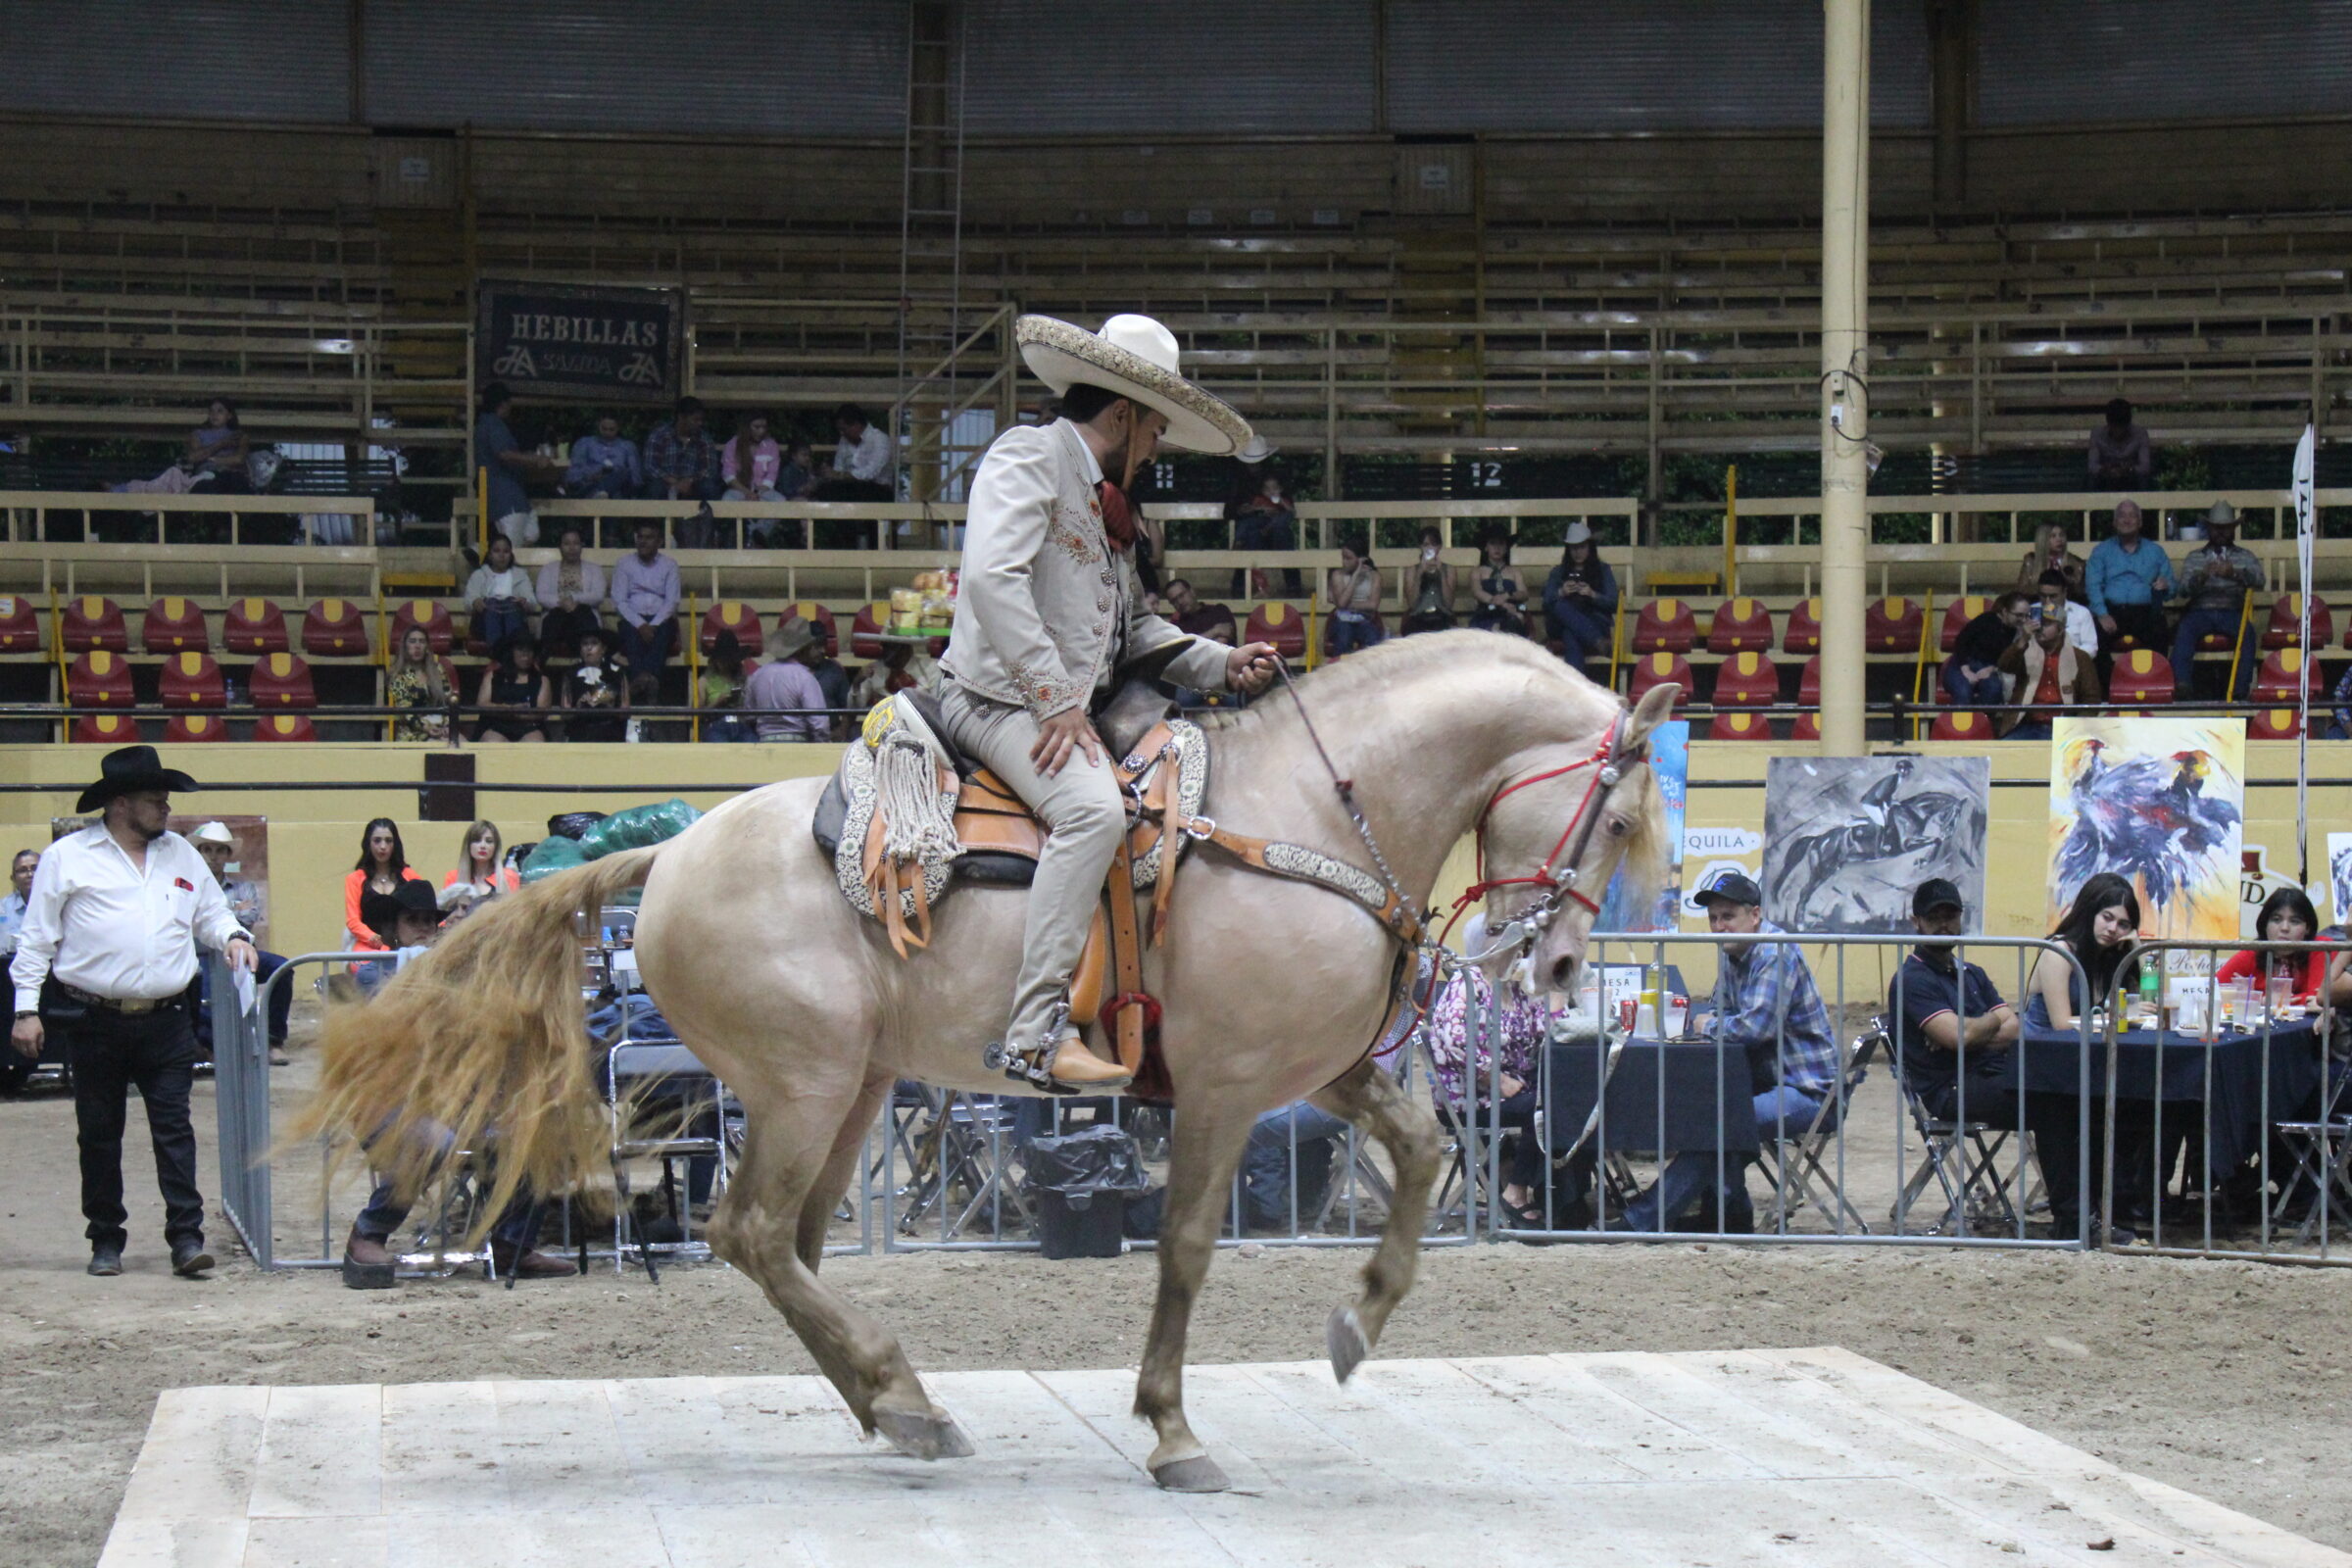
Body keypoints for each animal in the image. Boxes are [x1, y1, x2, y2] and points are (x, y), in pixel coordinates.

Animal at [298, 632, 1678, 1493]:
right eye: (1615, 815)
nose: (1560, 967)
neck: (1297, 816)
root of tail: (669, 850)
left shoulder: (1320, 1069)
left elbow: (1428, 1150)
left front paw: (1356, 1320)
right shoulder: (1225, 1090)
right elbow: (1185, 1248)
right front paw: (1173, 1428)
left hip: (851, 1092)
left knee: (792, 1245)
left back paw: (891, 1402)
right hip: (801, 1087)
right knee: (749, 1231)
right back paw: (901, 1393)